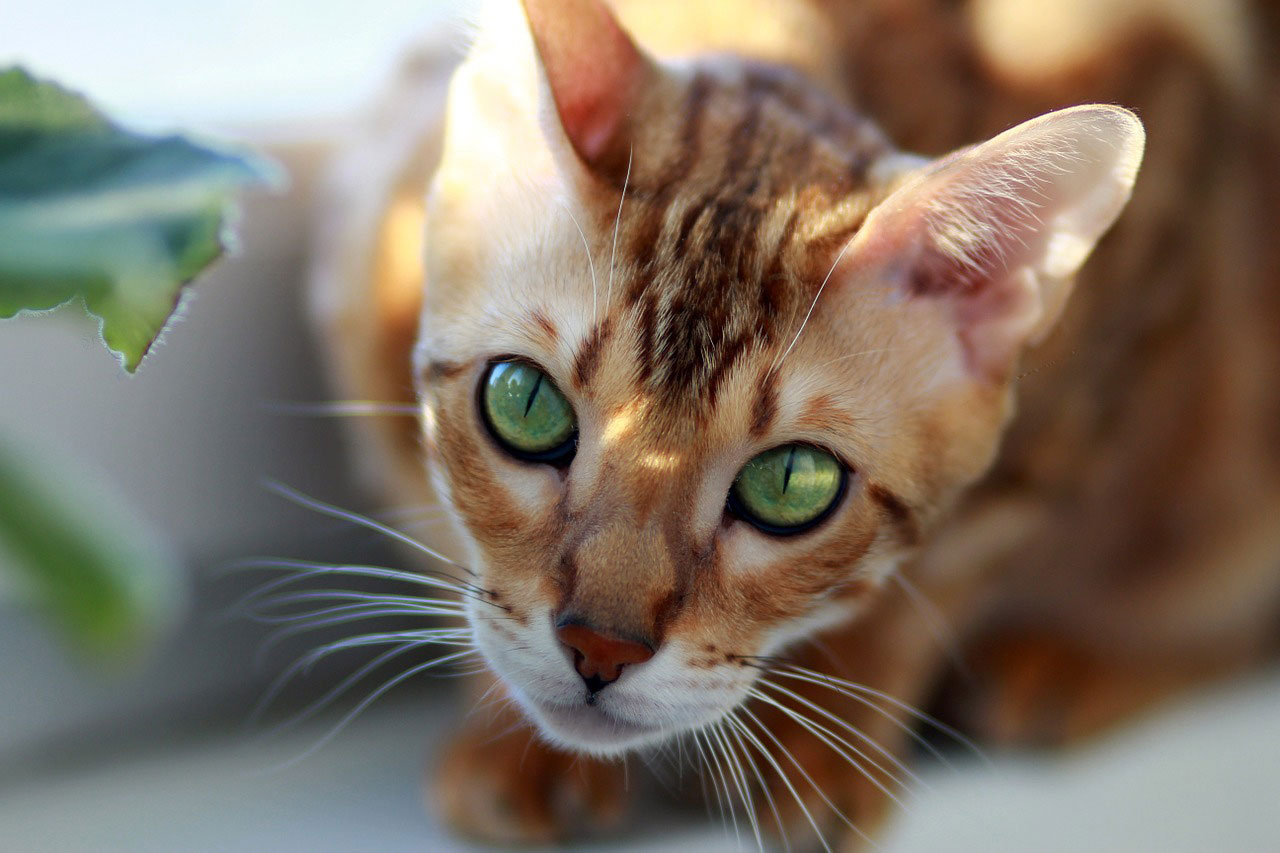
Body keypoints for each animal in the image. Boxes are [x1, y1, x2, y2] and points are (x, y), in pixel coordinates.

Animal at [312, 0, 1280, 845]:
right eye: (524, 403)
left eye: (791, 484)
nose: (598, 646)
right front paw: (511, 736)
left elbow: (938, 579)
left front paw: (824, 743)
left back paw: (1067, 667)